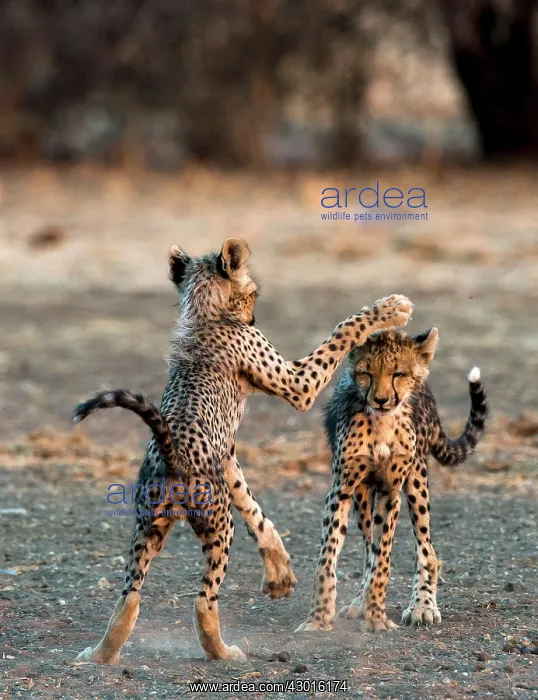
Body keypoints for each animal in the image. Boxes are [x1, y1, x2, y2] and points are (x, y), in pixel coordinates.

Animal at [72, 237, 413, 664]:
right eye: (252, 294)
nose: (253, 317)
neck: (203, 310)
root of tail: (171, 453)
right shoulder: (299, 385)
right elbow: (341, 330)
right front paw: (389, 308)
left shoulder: (228, 455)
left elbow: (253, 506)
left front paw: (280, 571)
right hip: (218, 525)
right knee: (203, 599)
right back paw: (223, 652)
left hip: (147, 526)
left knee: (130, 593)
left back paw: (100, 654)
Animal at [296, 326, 488, 634]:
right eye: (366, 373)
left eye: (398, 373)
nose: (381, 399)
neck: (381, 423)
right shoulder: (341, 490)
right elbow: (329, 559)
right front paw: (319, 618)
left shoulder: (391, 492)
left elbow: (383, 559)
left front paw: (377, 617)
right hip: (362, 496)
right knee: (368, 548)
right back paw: (360, 603)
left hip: (417, 481)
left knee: (426, 548)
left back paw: (423, 605)